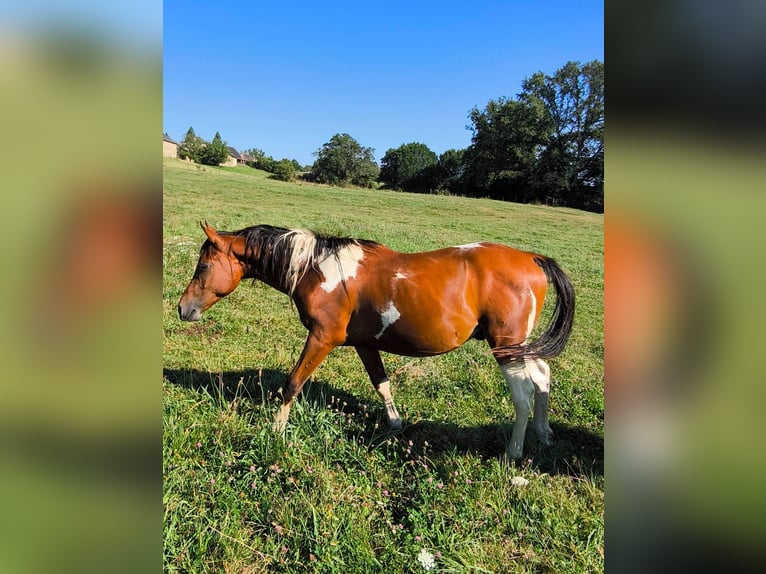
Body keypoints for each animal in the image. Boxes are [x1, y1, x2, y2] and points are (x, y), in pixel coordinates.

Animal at [178, 223, 576, 462]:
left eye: (202, 267)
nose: (183, 308)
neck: (317, 269)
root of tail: (533, 259)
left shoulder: (321, 338)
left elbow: (293, 383)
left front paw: (275, 429)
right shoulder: (364, 344)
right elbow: (381, 383)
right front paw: (396, 424)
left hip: (506, 346)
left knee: (523, 395)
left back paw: (513, 452)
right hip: (522, 345)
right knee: (543, 376)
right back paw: (544, 434)